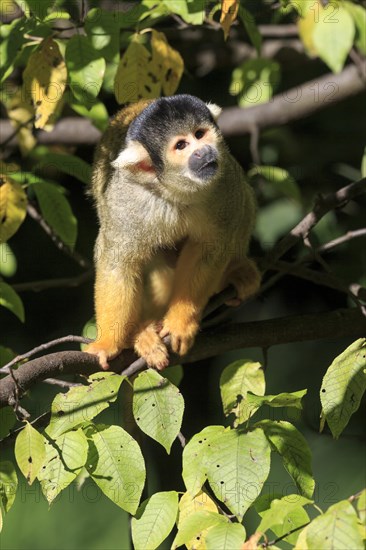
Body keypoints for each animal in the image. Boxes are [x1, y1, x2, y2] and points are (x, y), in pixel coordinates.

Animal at [85, 95, 260, 370]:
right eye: (181, 145)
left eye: (200, 134)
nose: (203, 151)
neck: (175, 189)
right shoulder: (127, 199)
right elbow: (118, 264)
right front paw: (107, 344)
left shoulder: (224, 182)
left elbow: (209, 249)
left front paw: (180, 322)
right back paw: (140, 332)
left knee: (243, 202)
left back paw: (233, 273)